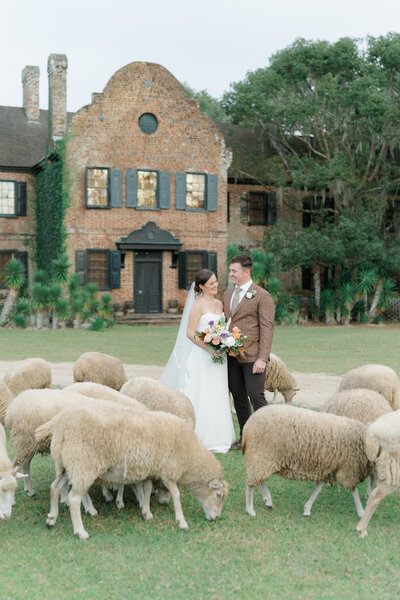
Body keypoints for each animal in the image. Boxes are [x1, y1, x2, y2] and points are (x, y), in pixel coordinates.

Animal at [36, 404, 230, 540]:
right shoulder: (167, 471)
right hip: (83, 463)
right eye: (218, 495)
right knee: (73, 498)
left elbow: (147, 489)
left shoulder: (152, 469)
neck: (189, 456)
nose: (215, 518)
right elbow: (176, 494)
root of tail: (60, 425)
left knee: (54, 487)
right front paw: (181, 521)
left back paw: (51, 518)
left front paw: (146, 512)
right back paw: (80, 531)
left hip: (68, 465)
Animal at [241, 404, 372, 520]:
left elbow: (319, 488)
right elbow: (354, 491)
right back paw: (250, 509)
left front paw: (307, 509)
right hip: (260, 455)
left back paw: (267, 500)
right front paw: (361, 512)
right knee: (250, 484)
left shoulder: (327, 468)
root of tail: (248, 425)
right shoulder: (349, 469)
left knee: (259, 480)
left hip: (261, 459)